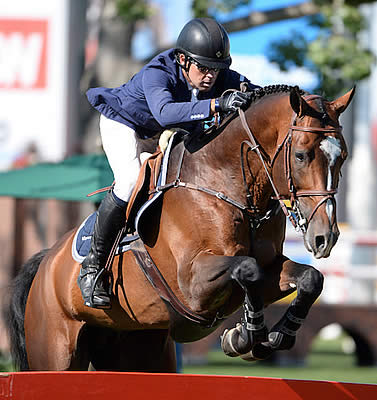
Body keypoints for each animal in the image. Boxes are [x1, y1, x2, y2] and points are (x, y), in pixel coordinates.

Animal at [5, 85, 352, 372]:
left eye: (343, 157)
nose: (325, 237)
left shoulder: (270, 268)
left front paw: (272, 336)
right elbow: (247, 269)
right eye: (301, 155)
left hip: (138, 350)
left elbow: (310, 279)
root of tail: (46, 263)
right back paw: (92, 282)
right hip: (56, 352)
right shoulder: (193, 284)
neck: (228, 185)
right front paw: (246, 336)